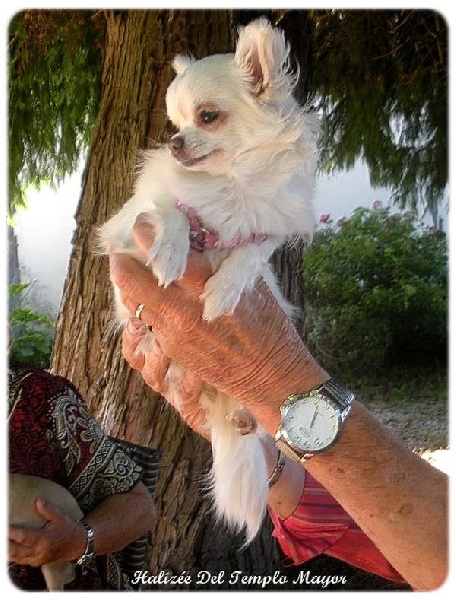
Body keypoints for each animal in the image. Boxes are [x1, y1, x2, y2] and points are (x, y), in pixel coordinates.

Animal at [100, 18, 318, 544]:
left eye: (207, 116)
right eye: (173, 125)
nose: (176, 144)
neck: (230, 184)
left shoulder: (268, 230)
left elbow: (252, 250)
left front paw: (222, 291)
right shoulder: (127, 228)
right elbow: (170, 210)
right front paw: (171, 252)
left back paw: (243, 414)